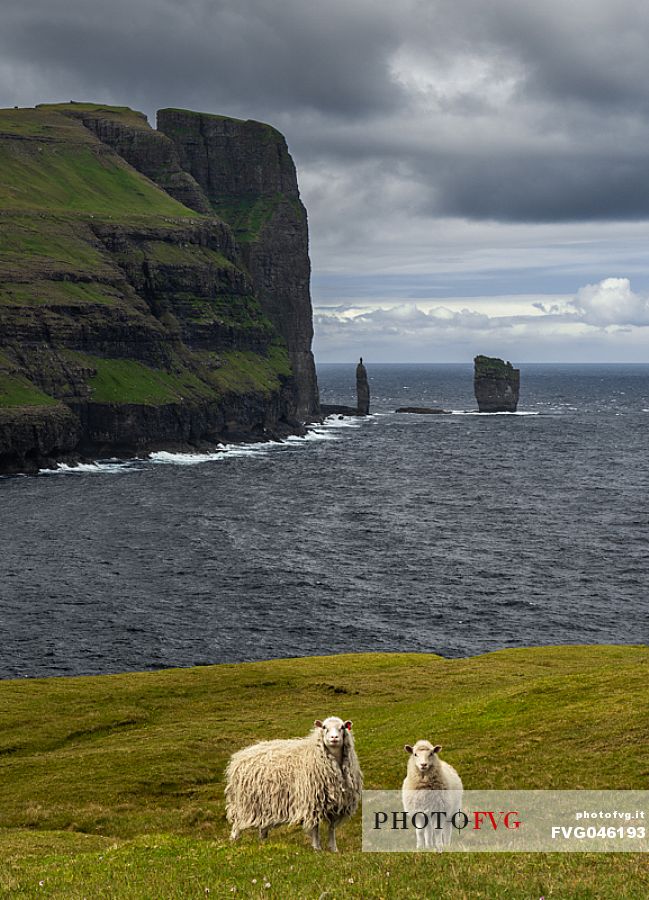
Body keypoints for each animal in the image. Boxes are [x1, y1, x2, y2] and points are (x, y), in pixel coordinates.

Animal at [225, 716, 362, 852]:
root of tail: (239, 756)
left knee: (263, 825)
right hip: (244, 803)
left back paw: (263, 842)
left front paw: (334, 849)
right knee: (237, 823)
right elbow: (315, 827)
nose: (334, 738)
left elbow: (332, 828)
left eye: (342, 727)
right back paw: (233, 840)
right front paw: (317, 848)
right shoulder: (312, 801)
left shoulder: (338, 803)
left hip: (265, 803)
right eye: (324, 727)